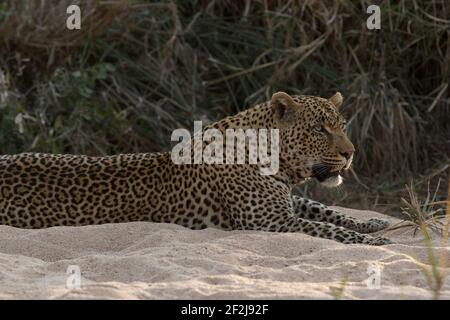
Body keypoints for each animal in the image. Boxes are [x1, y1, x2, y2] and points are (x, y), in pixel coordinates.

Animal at [0, 92, 390, 245]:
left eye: (341, 125)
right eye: (320, 129)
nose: (351, 153)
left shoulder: (285, 204)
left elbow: (329, 212)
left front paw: (374, 224)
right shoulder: (271, 221)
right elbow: (328, 229)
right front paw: (375, 242)